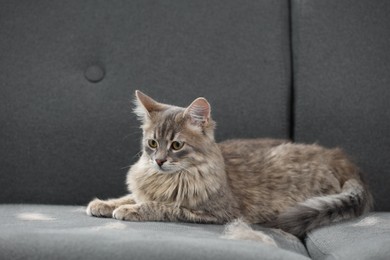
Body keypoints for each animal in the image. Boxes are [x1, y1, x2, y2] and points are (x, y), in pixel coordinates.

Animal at [87, 90, 374, 239]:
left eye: (176, 145)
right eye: (153, 143)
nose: (158, 161)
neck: (167, 178)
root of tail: (340, 158)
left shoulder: (217, 213)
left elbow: (162, 206)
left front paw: (130, 210)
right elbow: (130, 196)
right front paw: (103, 204)